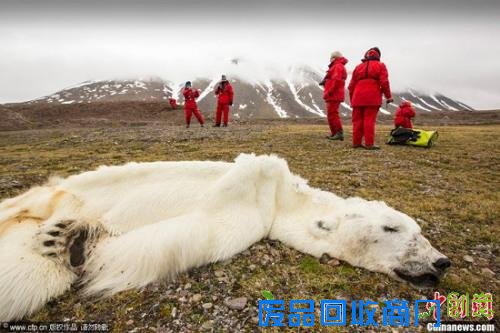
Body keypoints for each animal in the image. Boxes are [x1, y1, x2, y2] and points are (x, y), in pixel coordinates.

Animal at [0, 152, 450, 320]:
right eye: (393, 227)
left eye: (419, 230)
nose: (441, 261)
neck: (281, 198)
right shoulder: (255, 190)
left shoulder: (249, 219)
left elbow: (178, 238)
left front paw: (76, 242)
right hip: (51, 194)